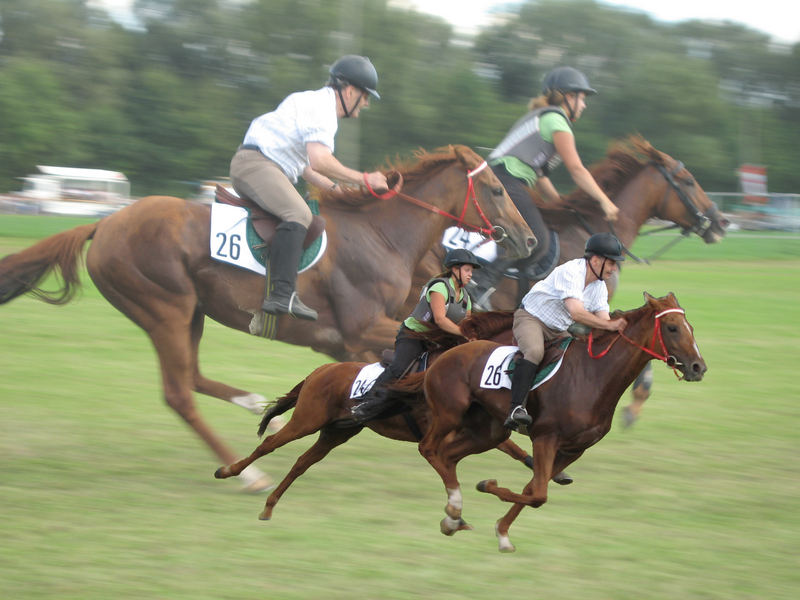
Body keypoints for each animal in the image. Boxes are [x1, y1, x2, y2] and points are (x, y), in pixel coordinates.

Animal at [1, 146, 536, 492]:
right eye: (495, 189)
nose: (528, 240)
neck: (382, 236)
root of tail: (106, 222)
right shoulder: (361, 332)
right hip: (164, 309)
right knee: (178, 392)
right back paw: (249, 473)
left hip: (191, 312)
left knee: (192, 377)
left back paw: (257, 405)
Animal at [416, 292, 704, 552]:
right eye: (672, 327)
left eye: (690, 327)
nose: (698, 367)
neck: (593, 376)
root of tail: (448, 353)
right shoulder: (546, 438)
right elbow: (538, 494)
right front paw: (488, 485)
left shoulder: (573, 449)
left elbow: (532, 489)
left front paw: (502, 532)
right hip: (449, 413)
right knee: (429, 448)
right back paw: (454, 508)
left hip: (488, 432)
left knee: (448, 455)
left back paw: (452, 517)